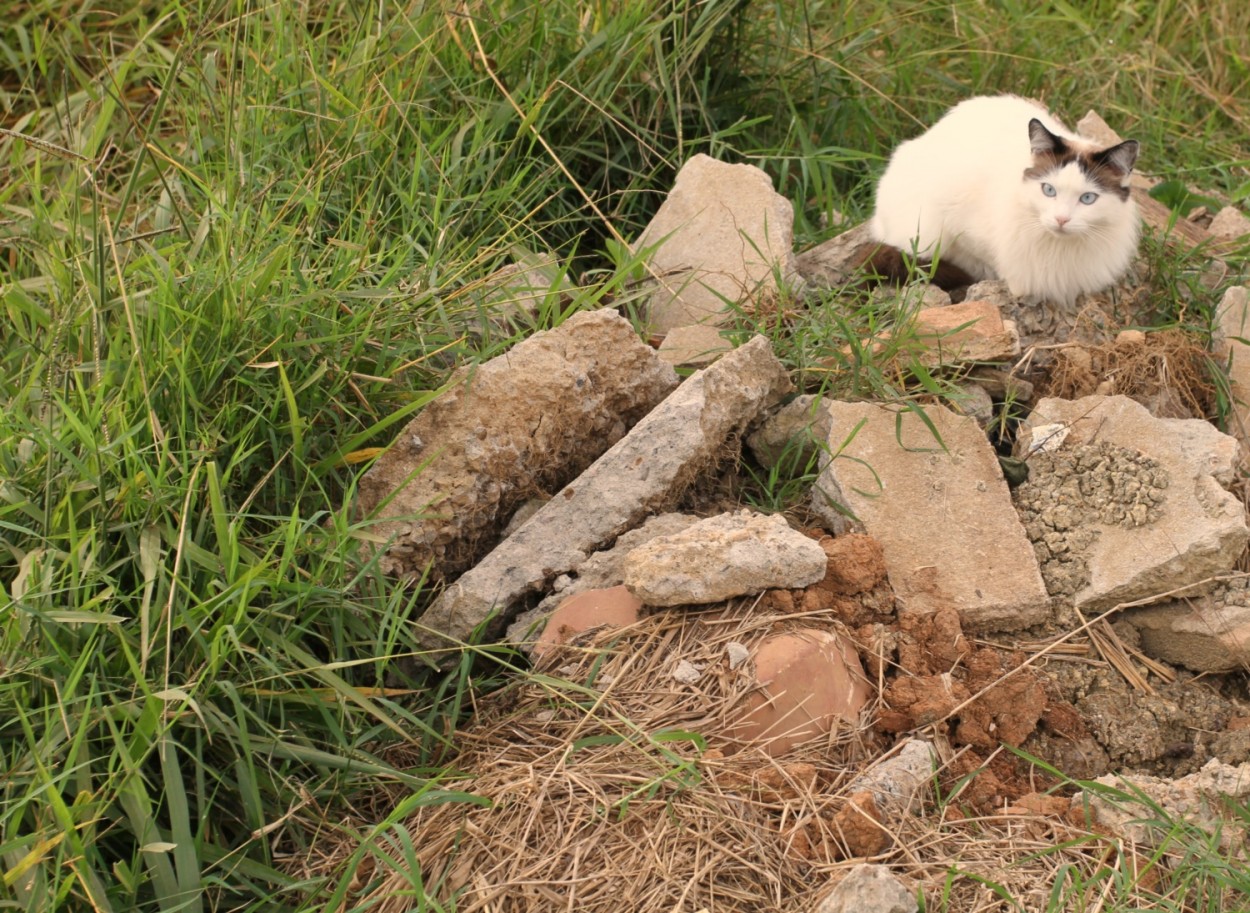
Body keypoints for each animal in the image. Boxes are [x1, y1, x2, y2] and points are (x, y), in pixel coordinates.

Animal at [870, 95, 1145, 303]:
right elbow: (982, 262)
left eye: (1087, 198)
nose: (1061, 219)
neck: (1058, 249)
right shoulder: (958, 232)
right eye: (1049, 190)